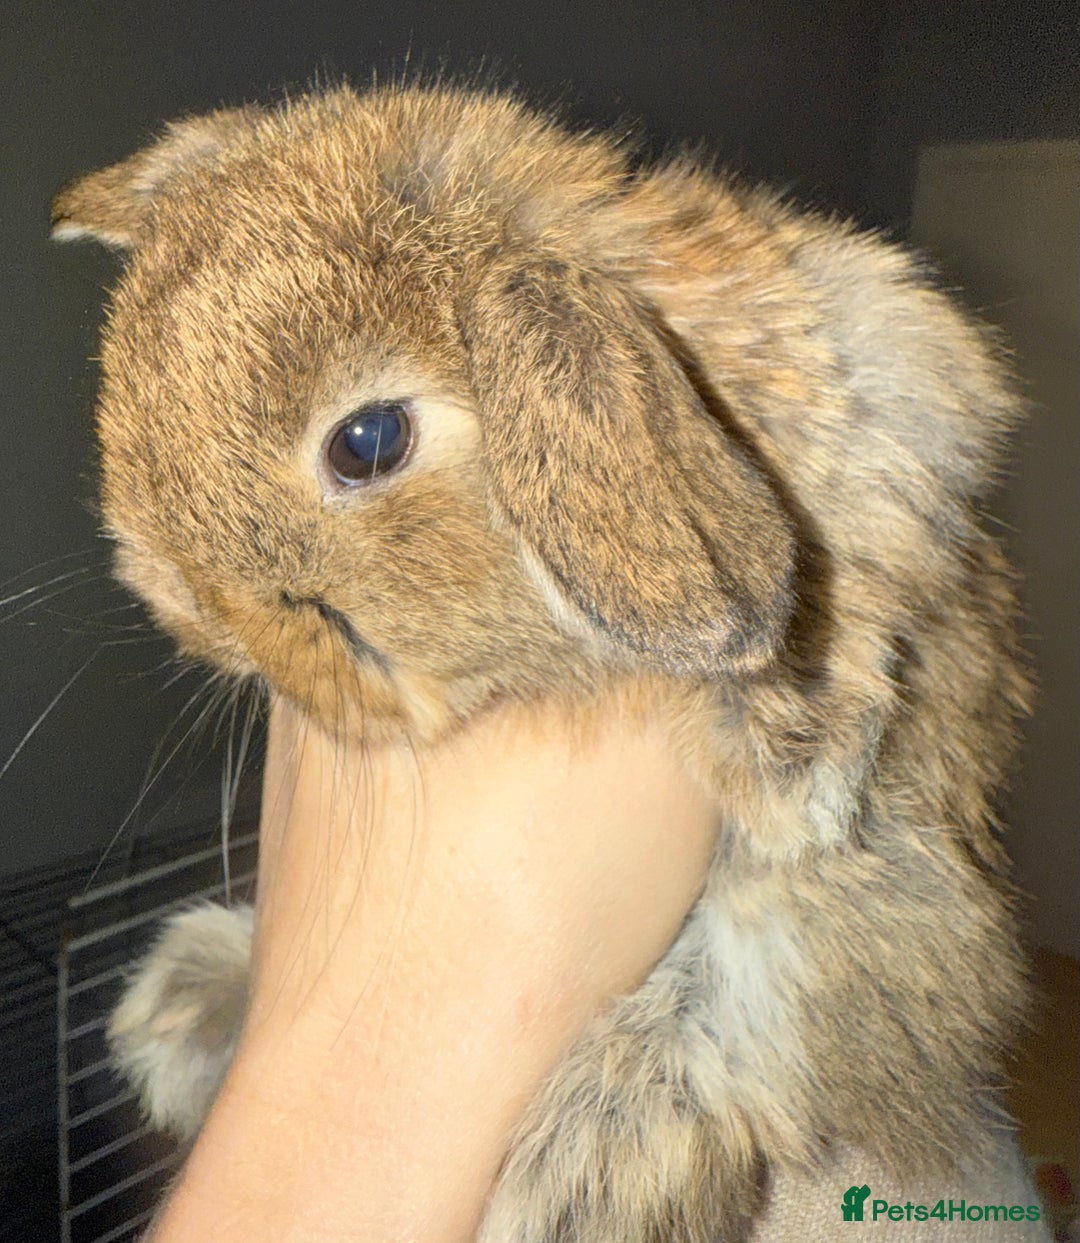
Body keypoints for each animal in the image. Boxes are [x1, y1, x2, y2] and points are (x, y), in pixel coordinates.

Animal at [51, 83, 1035, 1242]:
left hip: (867, 923)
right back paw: (179, 1010)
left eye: (369, 441)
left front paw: (791, 767)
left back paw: (563, 1177)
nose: (218, 624)